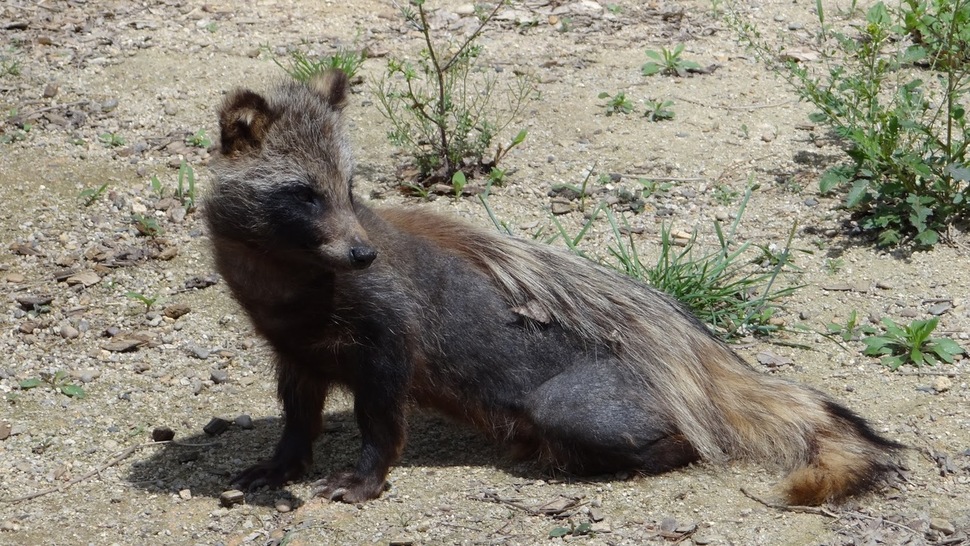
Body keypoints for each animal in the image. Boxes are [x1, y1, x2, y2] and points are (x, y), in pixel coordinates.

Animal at [204, 70, 900, 504]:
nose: (361, 253)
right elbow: (298, 417)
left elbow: (381, 418)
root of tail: (699, 367)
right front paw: (278, 466)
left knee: (672, 441)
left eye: (349, 187)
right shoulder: (294, 351)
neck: (289, 289)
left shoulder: (388, 333)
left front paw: (360, 481)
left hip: (572, 405)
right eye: (303, 193)